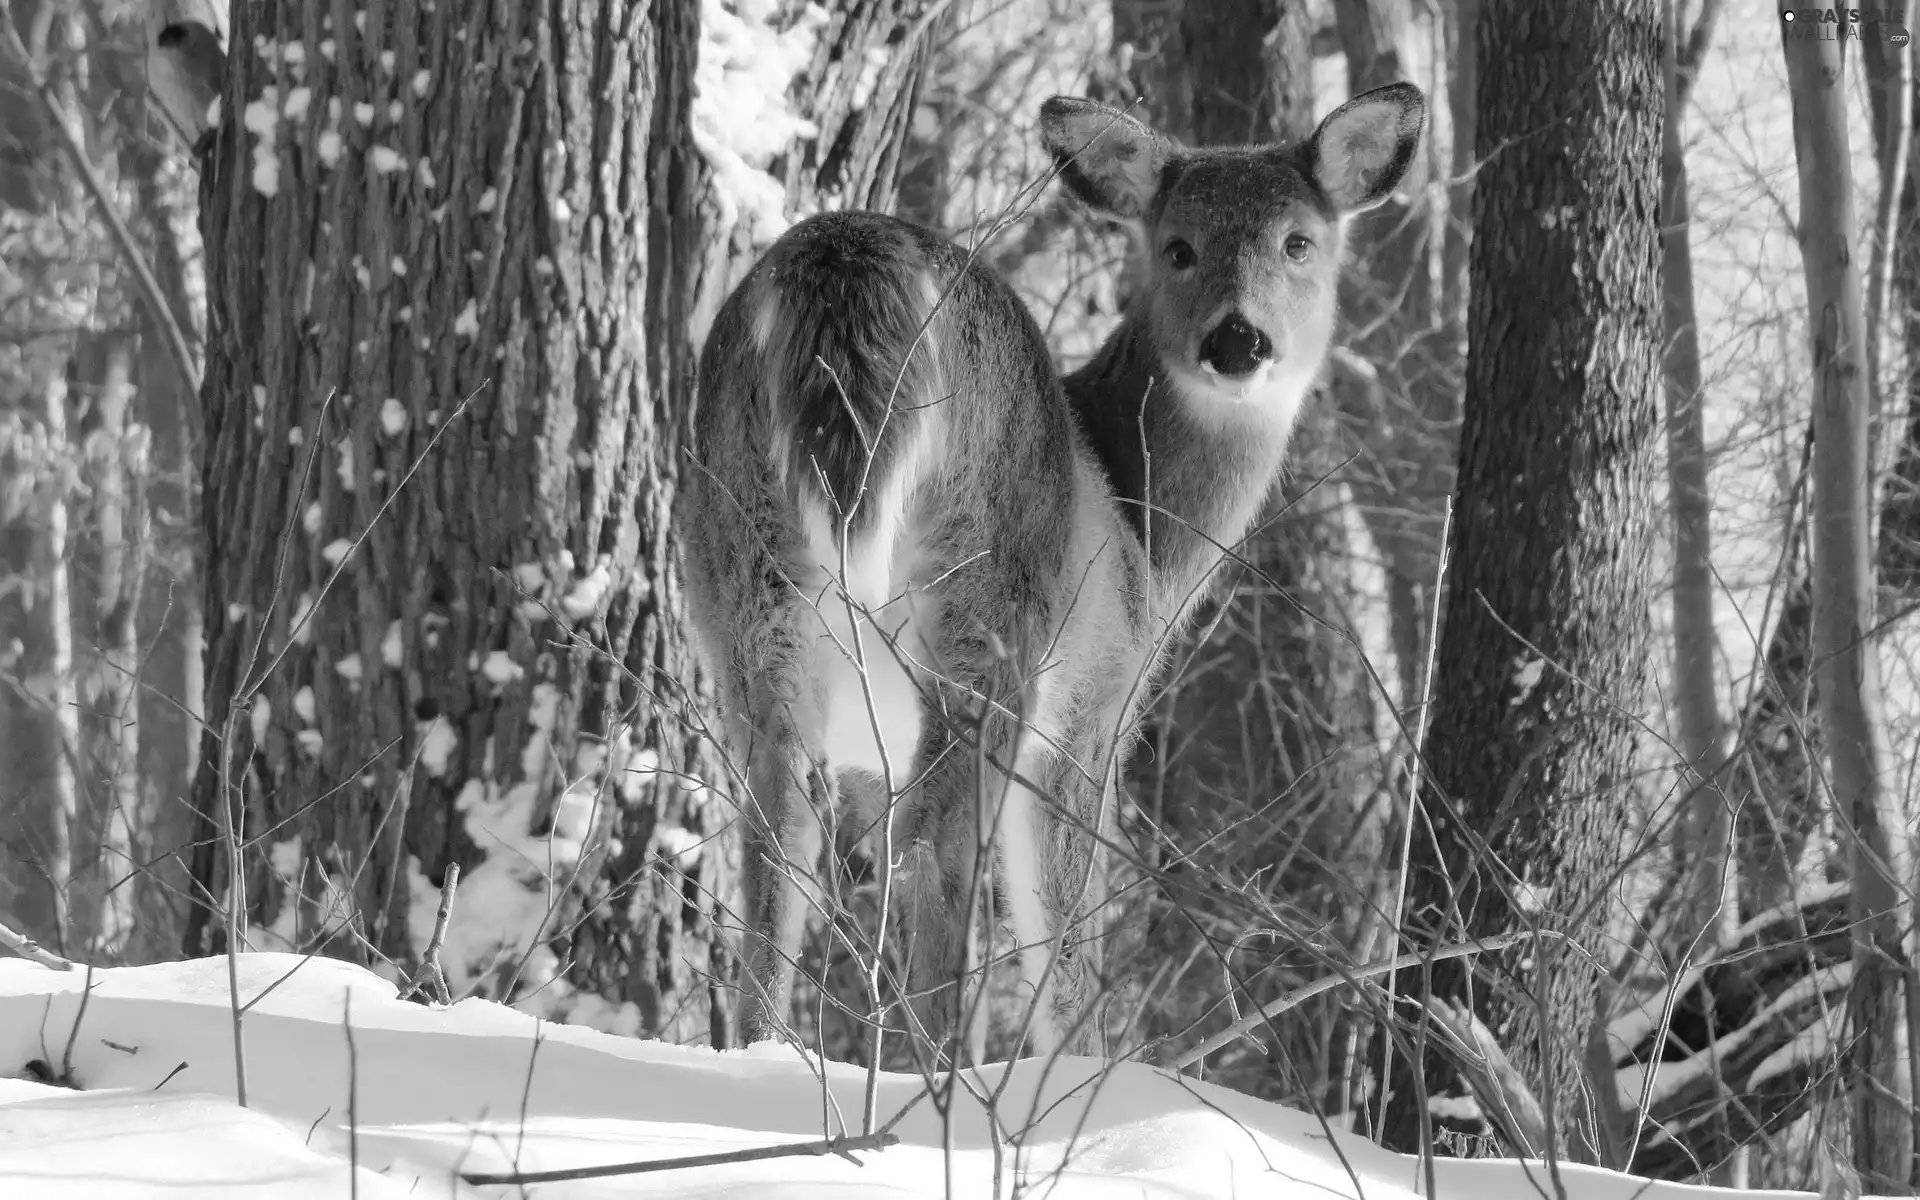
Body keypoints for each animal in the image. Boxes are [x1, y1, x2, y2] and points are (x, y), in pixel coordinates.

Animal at [675, 82, 1428, 1059]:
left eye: (1298, 240)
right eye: (1177, 246)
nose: (1238, 341)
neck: (1145, 529)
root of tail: (845, 261)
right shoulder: (1094, 719)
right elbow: (1065, 943)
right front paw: (1086, 1073)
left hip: (748, 581)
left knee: (779, 831)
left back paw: (765, 1053)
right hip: (995, 596)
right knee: (940, 842)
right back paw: (937, 1071)